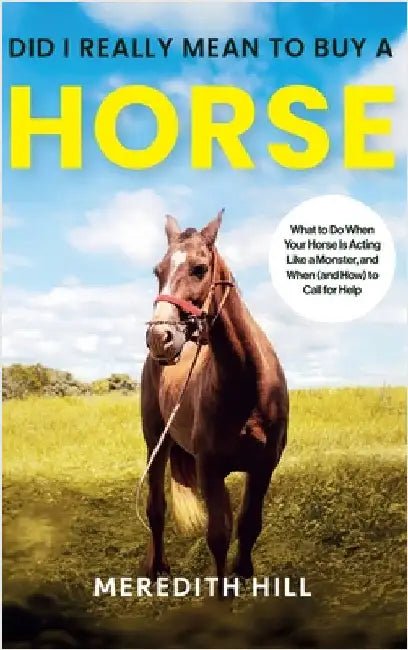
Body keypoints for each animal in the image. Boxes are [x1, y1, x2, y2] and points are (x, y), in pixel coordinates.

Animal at [141, 210, 288, 595]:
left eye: (199, 268)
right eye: (157, 271)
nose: (159, 337)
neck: (246, 387)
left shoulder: (263, 467)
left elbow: (249, 524)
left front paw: (243, 573)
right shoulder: (210, 469)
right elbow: (218, 535)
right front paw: (221, 594)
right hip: (155, 442)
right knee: (156, 509)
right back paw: (156, 568)